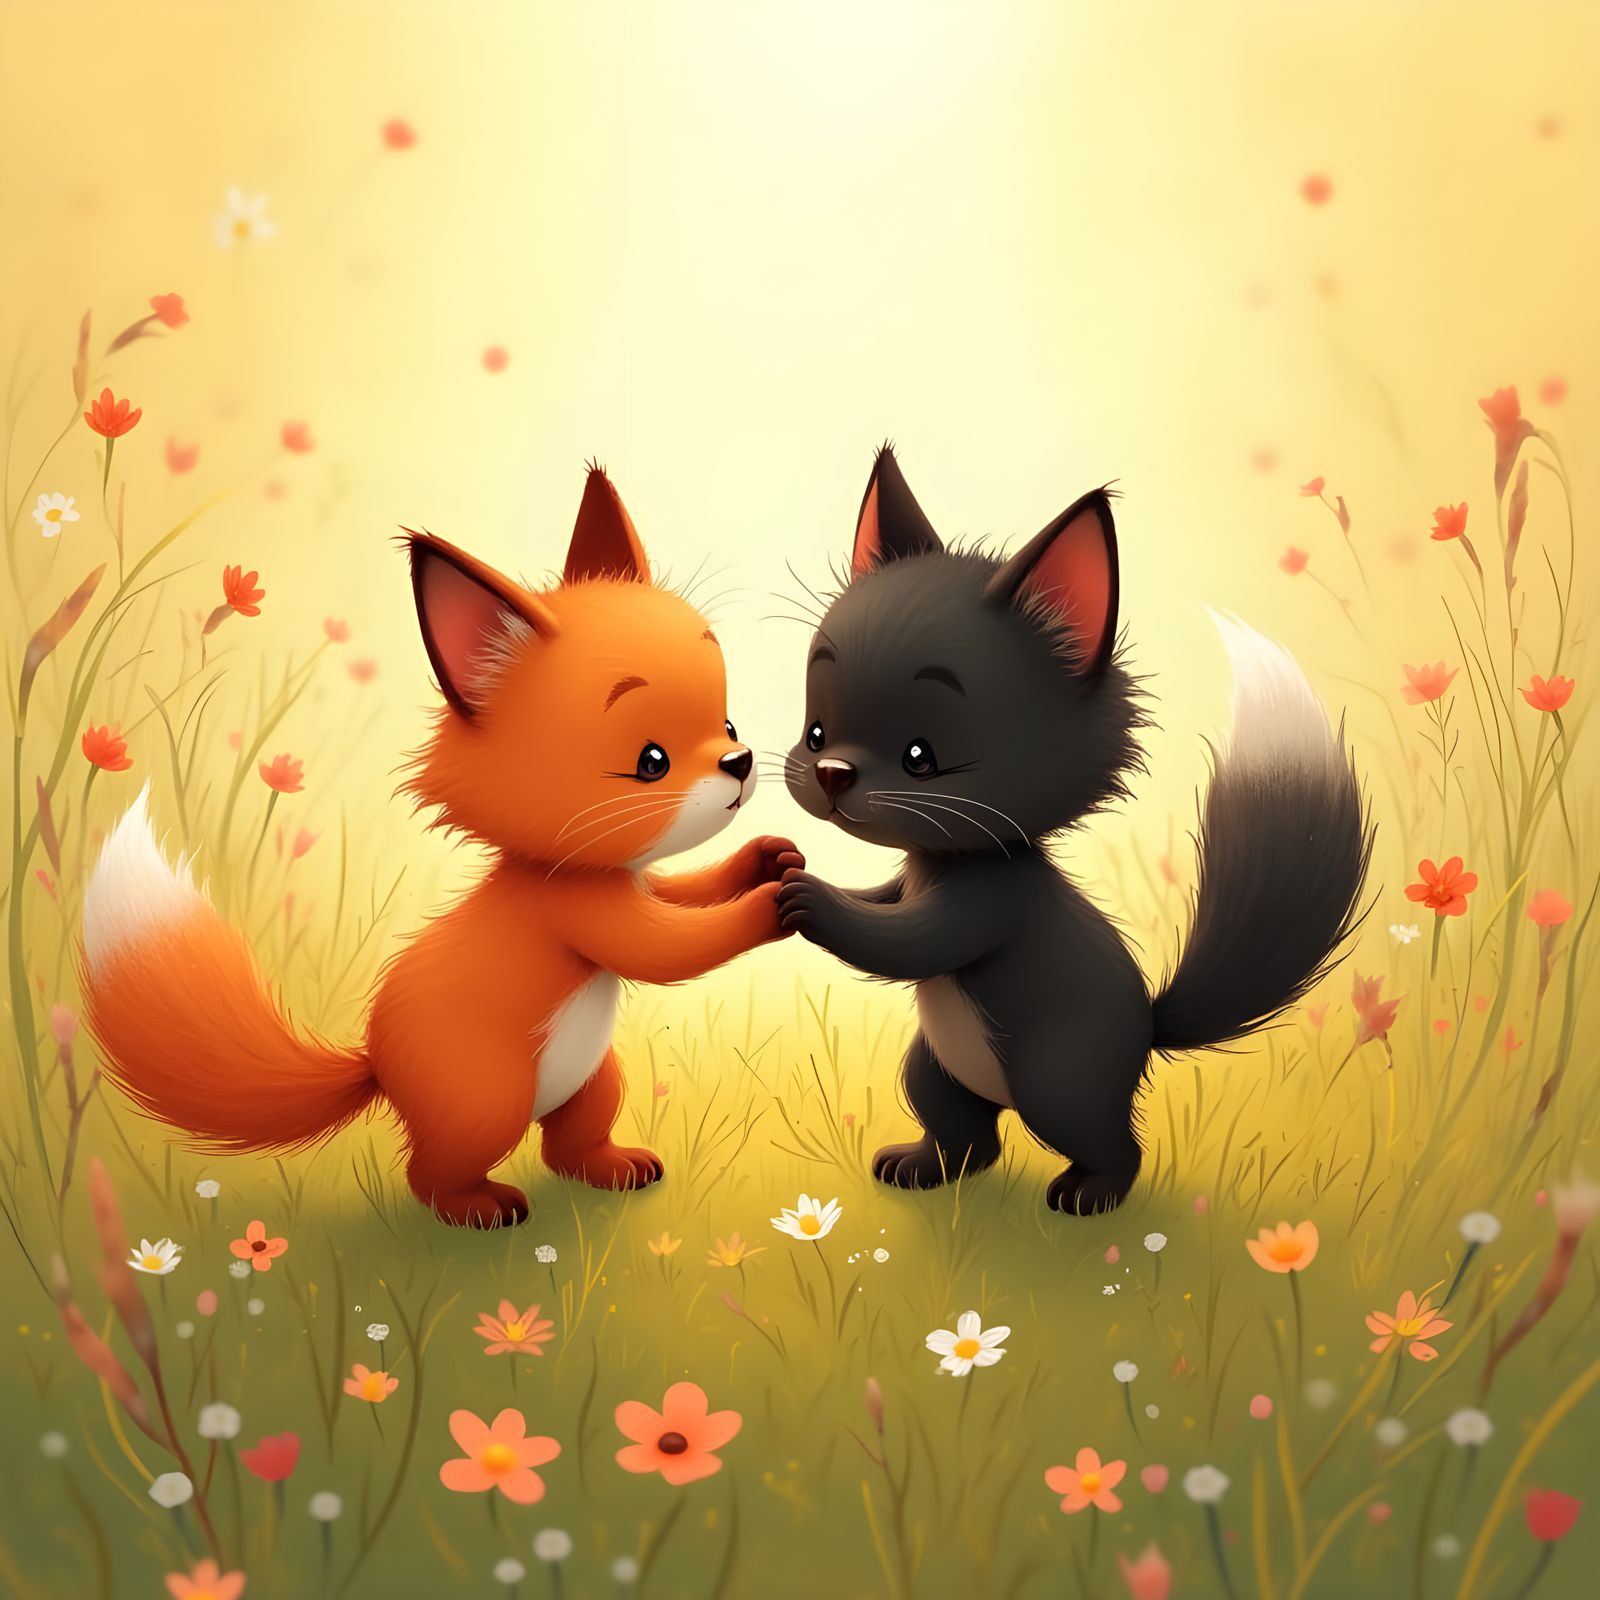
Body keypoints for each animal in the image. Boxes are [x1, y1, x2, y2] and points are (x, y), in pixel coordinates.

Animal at [81, 466, 799, 1226]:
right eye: (651, 761)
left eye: (729, 724)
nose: (740, 762)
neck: (566, 868)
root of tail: (375, 1061)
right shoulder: (582, 911)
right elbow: (670, 949)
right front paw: (772, 905)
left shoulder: (634, 883)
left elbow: (684, 892)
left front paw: (766, 859)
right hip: (489, 1100)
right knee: (431, 1173)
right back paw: (477, 1206)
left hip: (593, 1083)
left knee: (567, 1148)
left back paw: (612, 1167)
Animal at [777, 447, 1371, 1215]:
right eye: (817, 731)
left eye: (921, 757)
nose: (829, 773)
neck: (945, 859)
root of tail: (1149, 1027)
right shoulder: (910, 880)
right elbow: (883, 899)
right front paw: (793, 867)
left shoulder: (994, 900)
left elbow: (909, 940)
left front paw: (807, 898)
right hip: (934, 1067)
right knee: (970, 1137)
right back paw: (921, 1167)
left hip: (1058, 1082)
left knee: (1111, 1145)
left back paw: (1089, 1194)